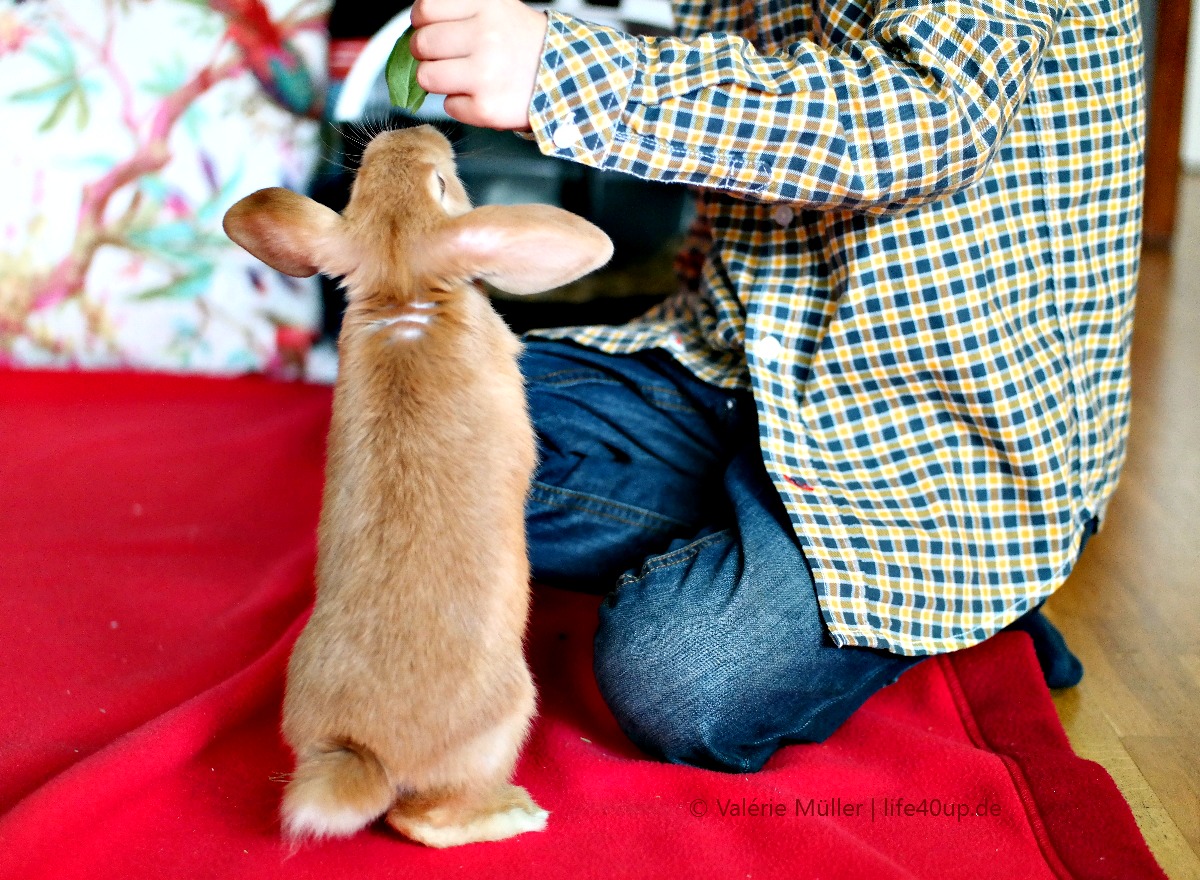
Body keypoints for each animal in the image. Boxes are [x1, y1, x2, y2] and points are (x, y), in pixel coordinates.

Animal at [223, 123, 609, 845]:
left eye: (358, 185)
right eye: (444, 185)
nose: (415, 129)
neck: (402, 284)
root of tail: (368, 754)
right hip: (510, 712)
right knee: (420, 819)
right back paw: (517, 813)